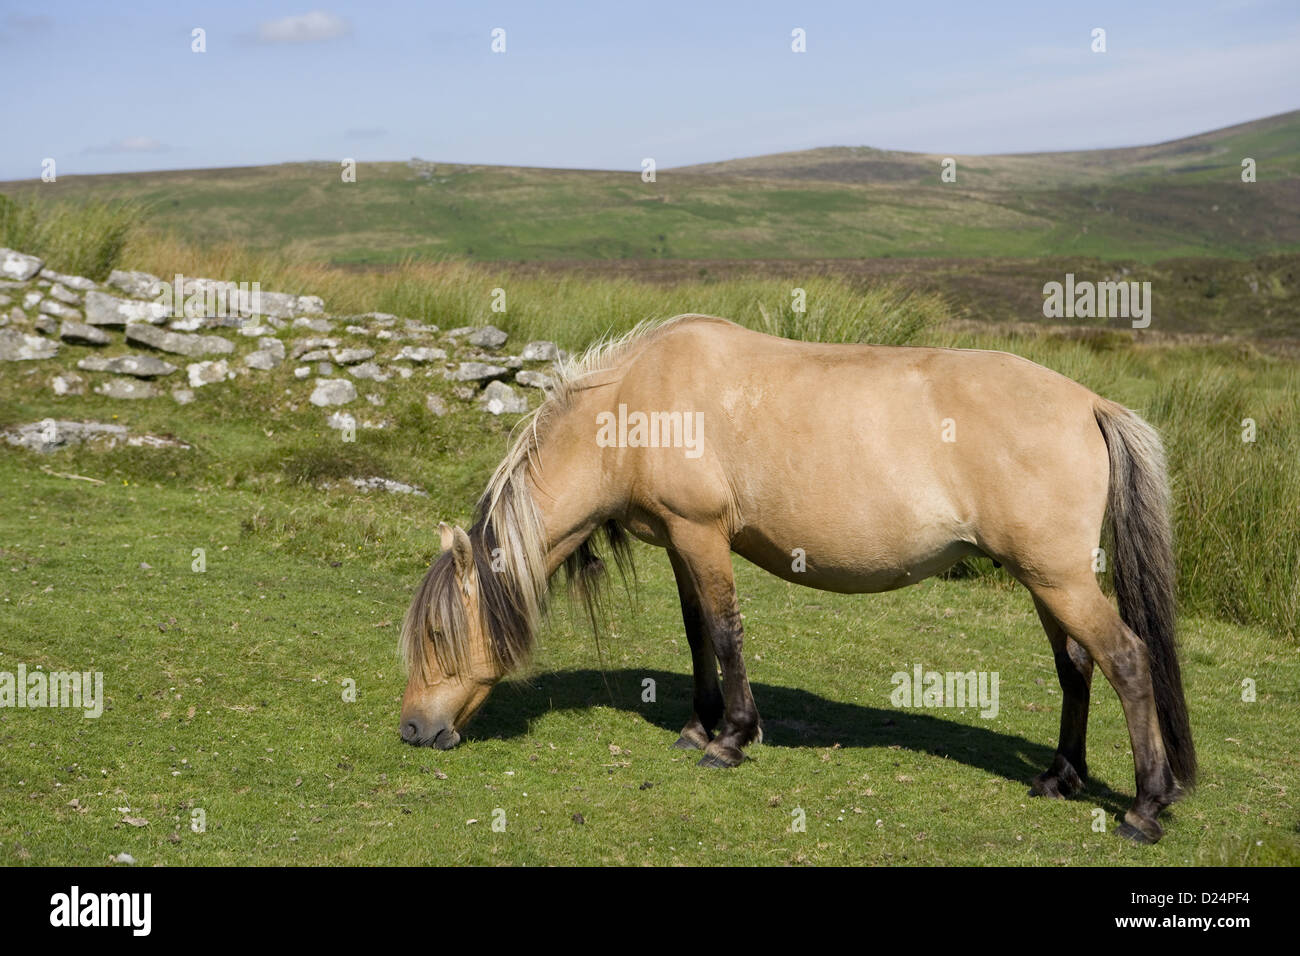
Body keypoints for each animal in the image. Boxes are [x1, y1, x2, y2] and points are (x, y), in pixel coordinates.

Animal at [399, 314, 1195, 844]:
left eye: (438, 633)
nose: (413, 730)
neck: (634, 404)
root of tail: (1090, 404)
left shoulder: (702, 534)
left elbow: (725, 631)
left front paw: (730, 738)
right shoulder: (682, 543)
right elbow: (697, 634)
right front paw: (697, 726)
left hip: (1058, 580)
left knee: (1126, 660)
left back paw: (1145, 809)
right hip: (1047, 581)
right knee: (1077, 665)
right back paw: (1059, 778)